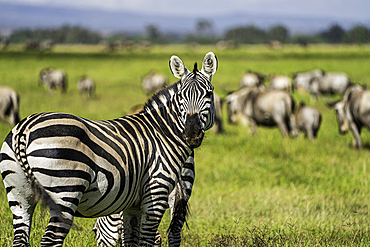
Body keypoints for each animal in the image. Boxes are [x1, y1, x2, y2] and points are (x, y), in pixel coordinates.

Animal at [0, 51, 218, 246]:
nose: (191, 135)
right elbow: (147, 240)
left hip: (18, 194)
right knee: (50, 240)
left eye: (209, 94)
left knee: (20, 237)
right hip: (65, 192)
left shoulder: (133, 205)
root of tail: (24, 129)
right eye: (181, 96)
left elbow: (131, 241)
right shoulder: (156, 192)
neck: (161, 132)